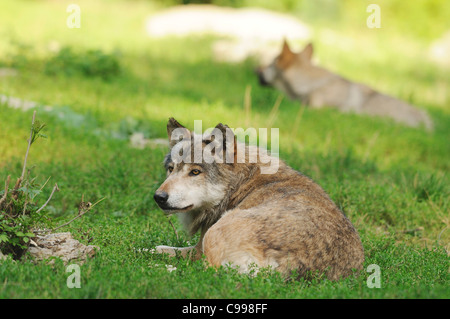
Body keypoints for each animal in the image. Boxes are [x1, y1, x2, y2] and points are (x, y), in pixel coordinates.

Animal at [153, 119, 364, 282]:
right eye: (171, 169)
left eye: (195, 172)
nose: (159, 197)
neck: (240, 183)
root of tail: (290, 265)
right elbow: (156, 248)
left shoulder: (198, 248)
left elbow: (162, 250)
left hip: (216, 232)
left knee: (204, 272)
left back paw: (163, 271)